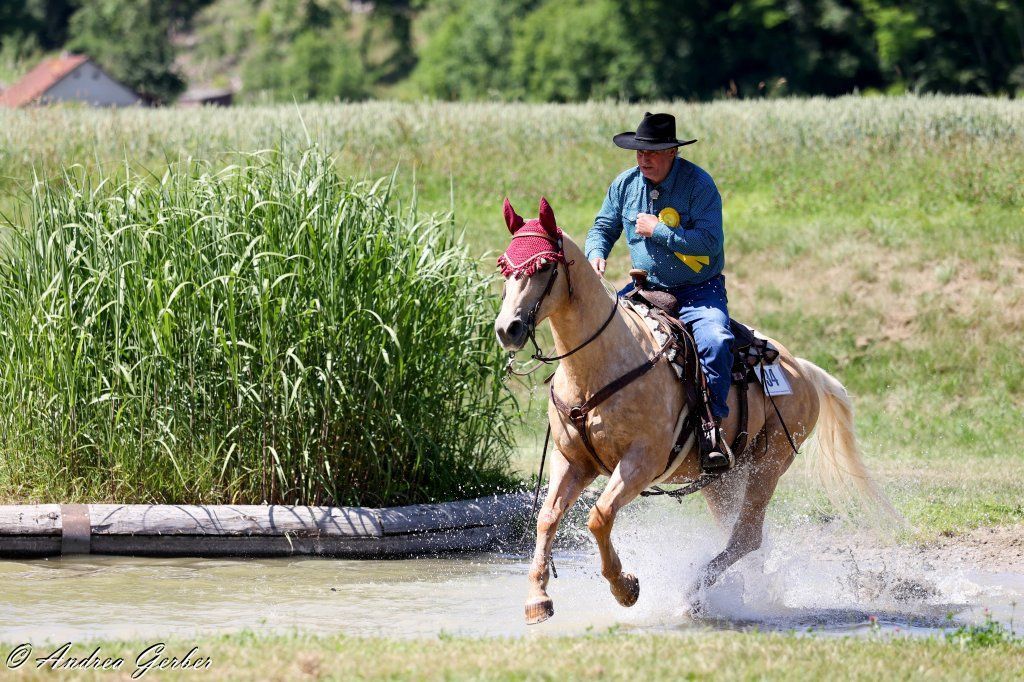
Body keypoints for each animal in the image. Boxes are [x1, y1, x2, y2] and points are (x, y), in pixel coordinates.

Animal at [494, 197, 898, 624]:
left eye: (544, 266)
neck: (597, 365)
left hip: (769, 465)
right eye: (505, 266)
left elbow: (599, 516)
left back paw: (694, 593)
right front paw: (538, 598)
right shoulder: (572, 461)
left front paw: (626, 588)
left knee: (747, 536)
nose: (507, 329)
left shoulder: (640, 462)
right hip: (723, 480)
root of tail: (801, 369)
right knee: (742, 537)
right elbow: (547, 517)